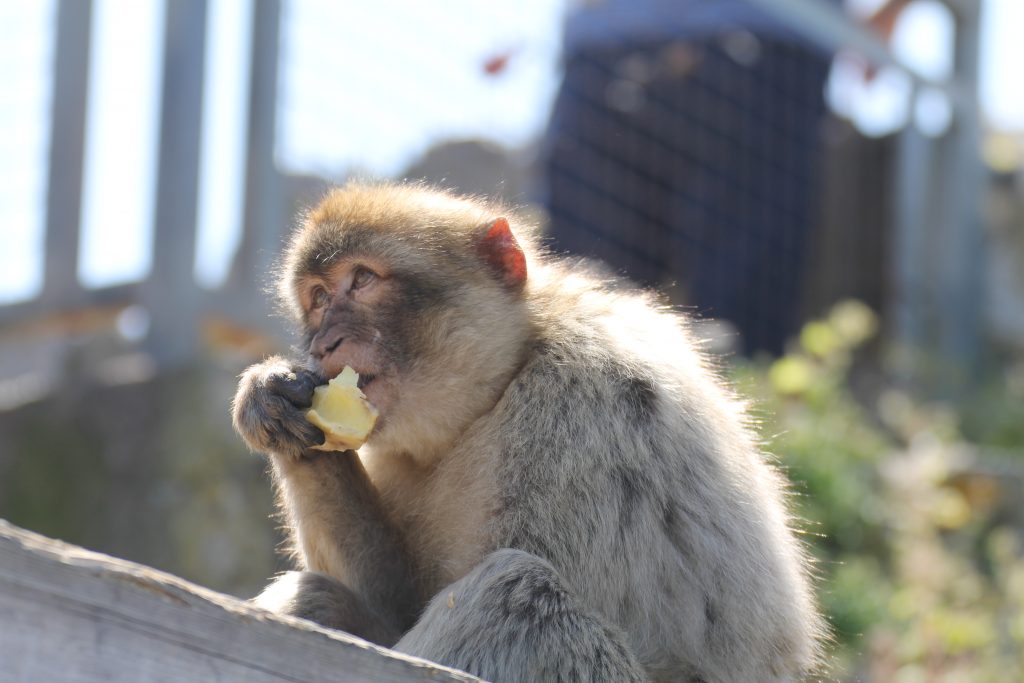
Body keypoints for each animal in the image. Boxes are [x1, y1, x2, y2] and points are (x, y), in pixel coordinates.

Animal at [230, 183, 823, 683]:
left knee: (518, 594)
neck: (501, 384)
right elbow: (397, 602)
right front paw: (271, 401)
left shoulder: (582, 410)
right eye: (318, 297)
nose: (324, 343)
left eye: (362, 280)